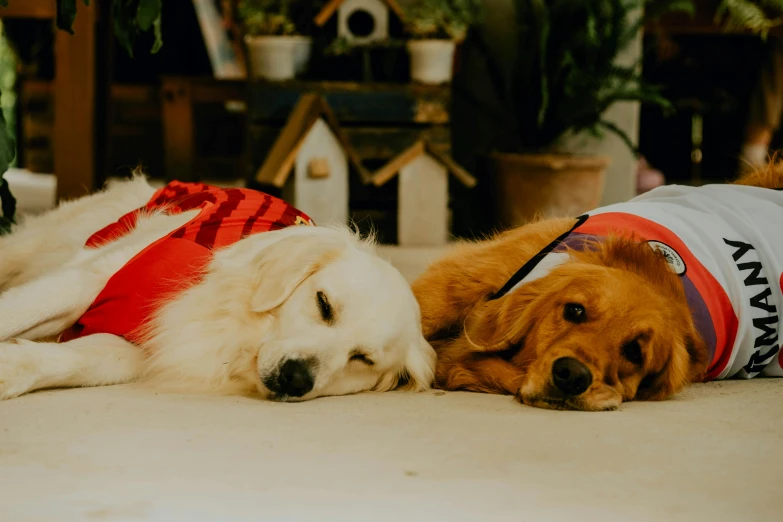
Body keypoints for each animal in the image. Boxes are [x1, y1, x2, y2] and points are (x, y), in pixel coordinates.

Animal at [0, 175, 434, 398]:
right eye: (323, 304)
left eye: (363, 359)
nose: (295, 379)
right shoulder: (84, 283)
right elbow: (17, 311)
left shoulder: (140, 345)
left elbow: (72, 360)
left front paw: (11, 368)